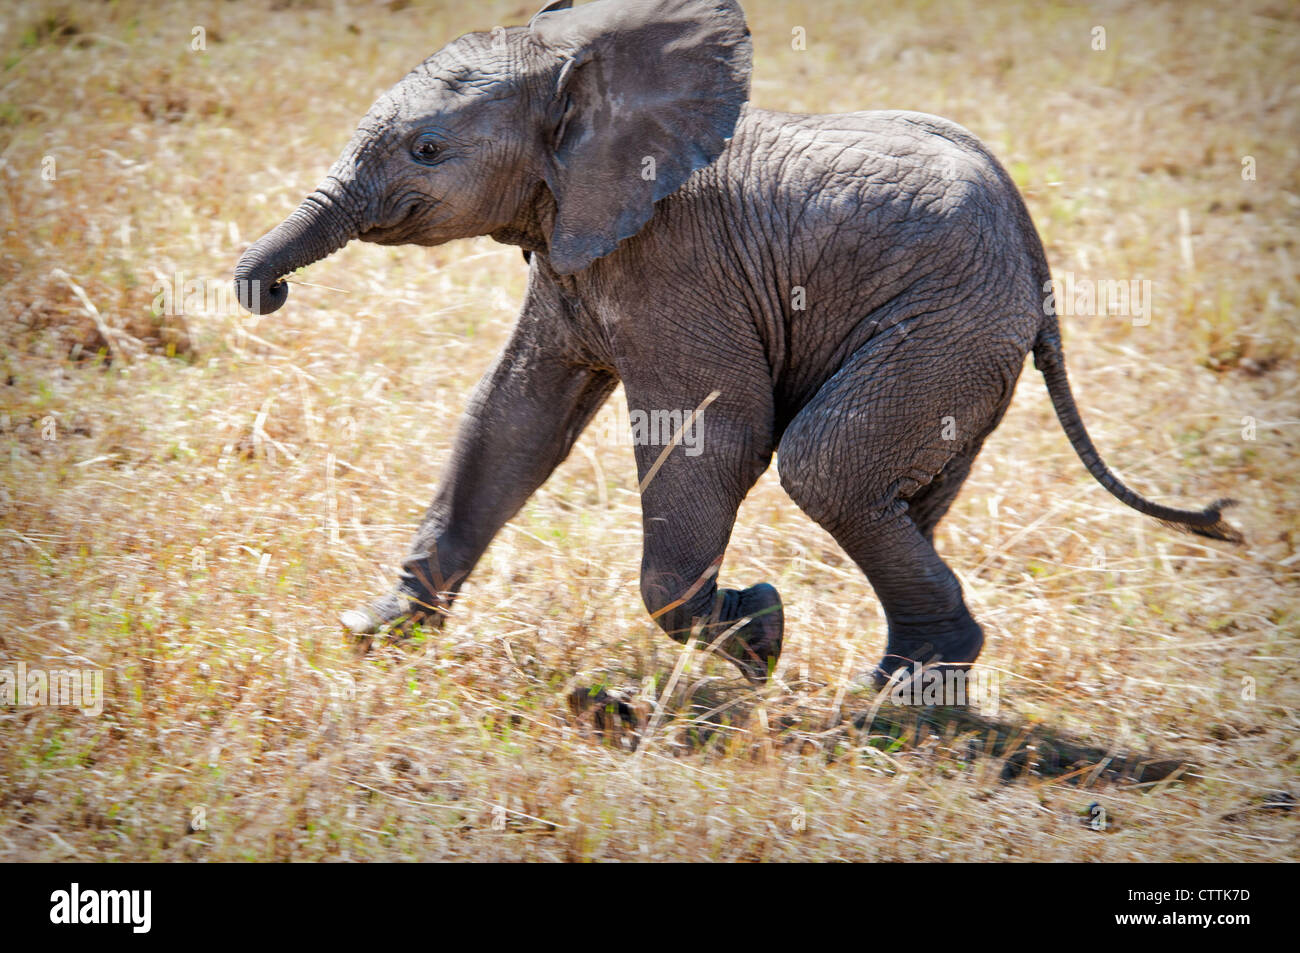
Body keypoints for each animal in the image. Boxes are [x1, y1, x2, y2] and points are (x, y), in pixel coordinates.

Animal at [231, 0, 1237, 686]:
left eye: (429, 151)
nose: (263, 290)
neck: (586, 74)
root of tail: (1035, 252)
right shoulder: (575, 253)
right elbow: (511, 421)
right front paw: (374, 634)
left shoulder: (677, 265)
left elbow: (711, 431)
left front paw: (761, 634)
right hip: (962, 348)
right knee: (900, 495)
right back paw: (907, 693)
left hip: (944, 327)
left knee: (827, 466)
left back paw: (891, 700)